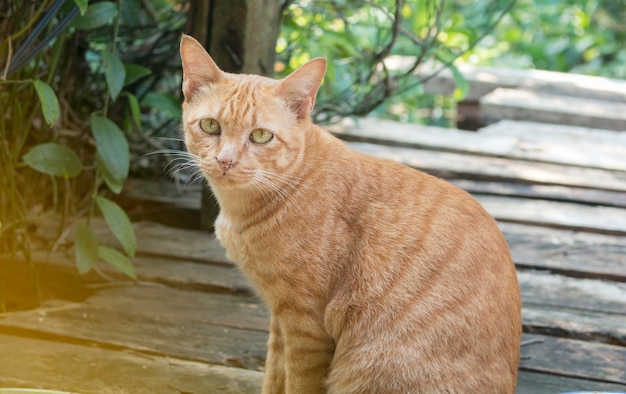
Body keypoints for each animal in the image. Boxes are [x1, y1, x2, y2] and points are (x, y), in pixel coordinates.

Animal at [180, 35, 520, 392]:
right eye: (210, 126)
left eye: (261, 135)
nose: (226, 160)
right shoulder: (280, 318)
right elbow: (274, 375)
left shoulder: (305, 326)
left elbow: (298, 383)